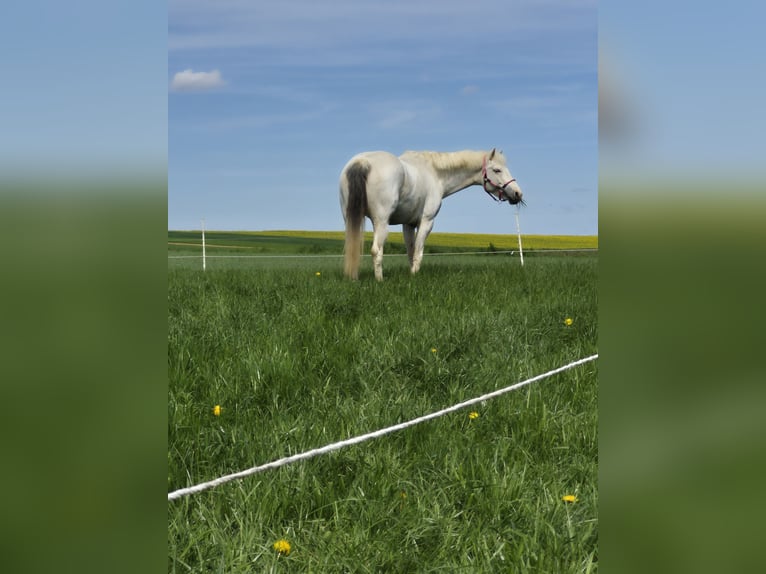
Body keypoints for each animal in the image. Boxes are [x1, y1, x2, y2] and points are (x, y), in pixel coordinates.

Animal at [339, 148, 523, 280]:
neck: (435, 173)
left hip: (350, 220)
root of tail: (362, 162)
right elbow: (418, 251)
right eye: (497, 170)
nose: (517, 193)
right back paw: (380, 280)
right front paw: (414, 275)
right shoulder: (427, 221)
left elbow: (411, 251)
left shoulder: (408, 224)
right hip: (381, 222)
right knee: (376, 250)